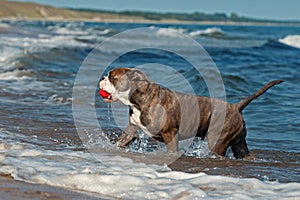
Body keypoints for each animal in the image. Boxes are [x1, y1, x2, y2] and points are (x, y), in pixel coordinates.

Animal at [99, 68, 282, 159]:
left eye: (112, 77)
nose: (102, 78)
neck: (139, 98)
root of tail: (236, 107)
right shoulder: (132, 129)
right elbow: (121, 141)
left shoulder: (170, 134)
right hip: (239, 144)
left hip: (217, 141)